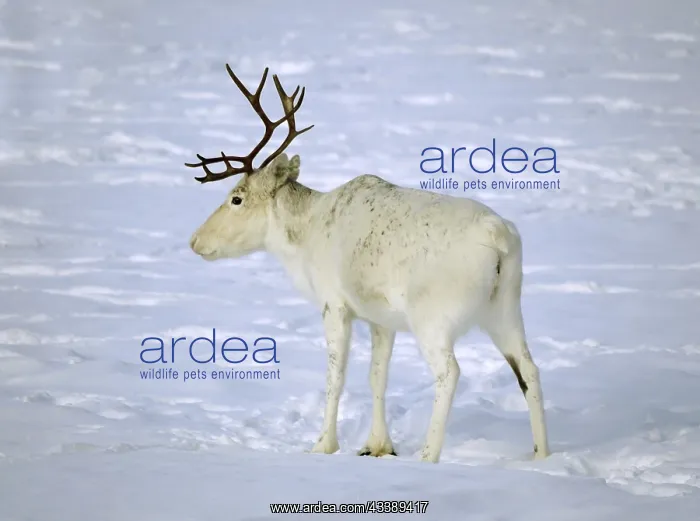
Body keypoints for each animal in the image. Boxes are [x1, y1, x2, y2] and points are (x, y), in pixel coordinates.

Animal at [186, 65, 551, 463]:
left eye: (236, 199)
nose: (195, 241)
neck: (302, 238)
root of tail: (500, 238)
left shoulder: (335, 304)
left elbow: (336, 376)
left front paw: (323, 445)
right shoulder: (381, 318)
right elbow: (377, 375)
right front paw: (377, 446)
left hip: (432, 319)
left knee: (450, 372)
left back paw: (428, 455)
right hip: (505, 308)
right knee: (529, 368)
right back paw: (542, 454)